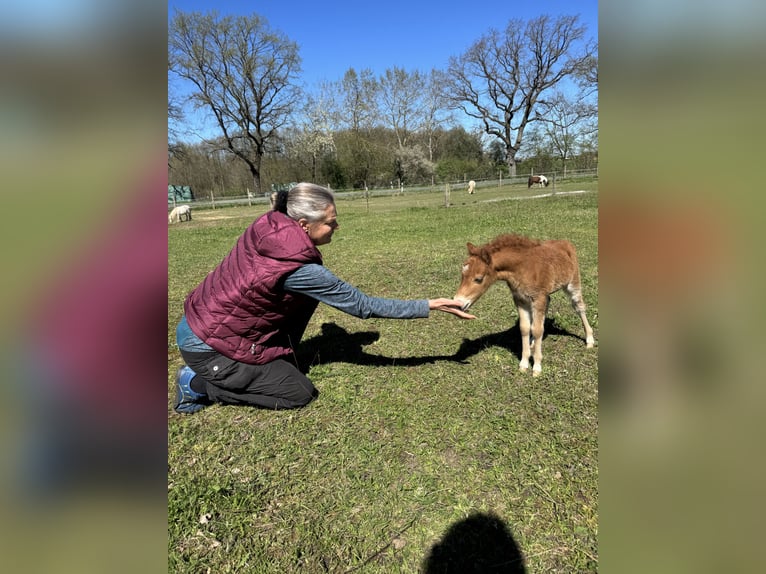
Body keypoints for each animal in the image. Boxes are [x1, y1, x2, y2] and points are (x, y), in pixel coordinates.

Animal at [453, 234, 595, 376]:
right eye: (462, 275)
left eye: (479, 279)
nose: (458, 303)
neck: (523, 269)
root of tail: (565, 242)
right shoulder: (520, 299)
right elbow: (525, 328)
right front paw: (524, 363)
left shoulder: (538, 298)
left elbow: (537, 330)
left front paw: (537, 367)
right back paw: (532, 342)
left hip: (572, 282)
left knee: (579, 307)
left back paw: (589, 339)